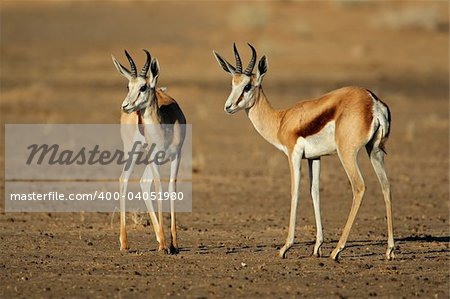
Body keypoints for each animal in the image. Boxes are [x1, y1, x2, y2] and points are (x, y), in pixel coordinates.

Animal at [112, 49, 186, 255]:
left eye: (143, 87)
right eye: (128, 85)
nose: (125, 105)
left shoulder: (176, 156)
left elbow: (171, 188)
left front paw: (173, 244)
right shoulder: (154, 158)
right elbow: (159, 189)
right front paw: (164, 245)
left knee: (144, 183)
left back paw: (159, 237)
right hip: (132, 151)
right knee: (124, 180)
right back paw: (125, 243)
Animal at [213, 43, 392, 262]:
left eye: (247, 86)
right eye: (233, 84)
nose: (228, 107)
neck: (281, 120)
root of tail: (373, 101)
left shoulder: (293, 154)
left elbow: (295, 191)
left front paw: (285, 247)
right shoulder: (314, 158)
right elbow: (314, 192)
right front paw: (317, 247)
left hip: (347, 154)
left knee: (359, 187)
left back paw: (337, 251)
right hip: (374, 151)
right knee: (385, 185)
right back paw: (390, 250)